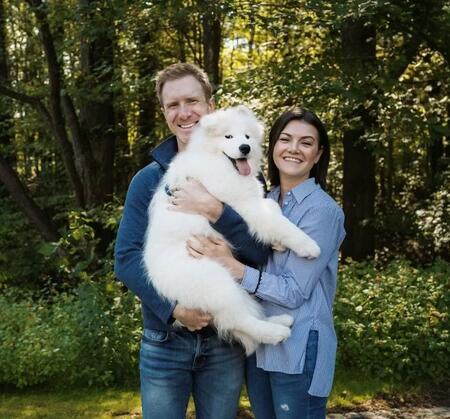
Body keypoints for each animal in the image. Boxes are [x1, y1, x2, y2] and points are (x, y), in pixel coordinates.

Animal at [144, 105, 320, 354]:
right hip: (215, 280)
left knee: (241, 313)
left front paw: (277, 243)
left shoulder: (253, 199)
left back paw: (279, 321)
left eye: (247, 136)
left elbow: (272, 206)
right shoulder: (244, 205)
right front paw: (308, 246)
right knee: (238, 319)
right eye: (228, 137)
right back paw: (276, 332)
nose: (245, 148)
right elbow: (279, 223)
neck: (216, 162)